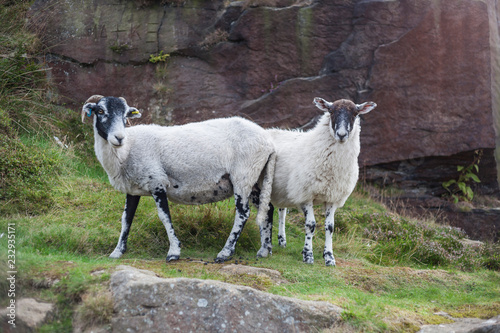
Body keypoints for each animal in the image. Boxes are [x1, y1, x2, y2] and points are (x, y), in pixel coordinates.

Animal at [80, 95, 276, 262]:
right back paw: (264, 250)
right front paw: (117, 252)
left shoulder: (157, 182)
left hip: (243, 176)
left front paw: (174, 252)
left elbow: (164, 216)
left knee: (243, 213)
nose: (119, 138)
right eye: (100, 111)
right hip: (256, 179)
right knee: (268, 209)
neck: (126, 150)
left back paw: (225, 253)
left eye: (125, 114)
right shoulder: (133, 190)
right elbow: (126, 219)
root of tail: (269, 143)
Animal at [256, 96, 376, 264]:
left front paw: (329, 257)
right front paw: (308, 255)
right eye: (331, 111)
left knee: (281, 211)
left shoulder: (332, 196)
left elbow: (330, 227)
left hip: (282, 189)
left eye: (355, 113)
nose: (341, 134)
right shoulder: (306, 194)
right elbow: (310, 225)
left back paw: (281, 241)